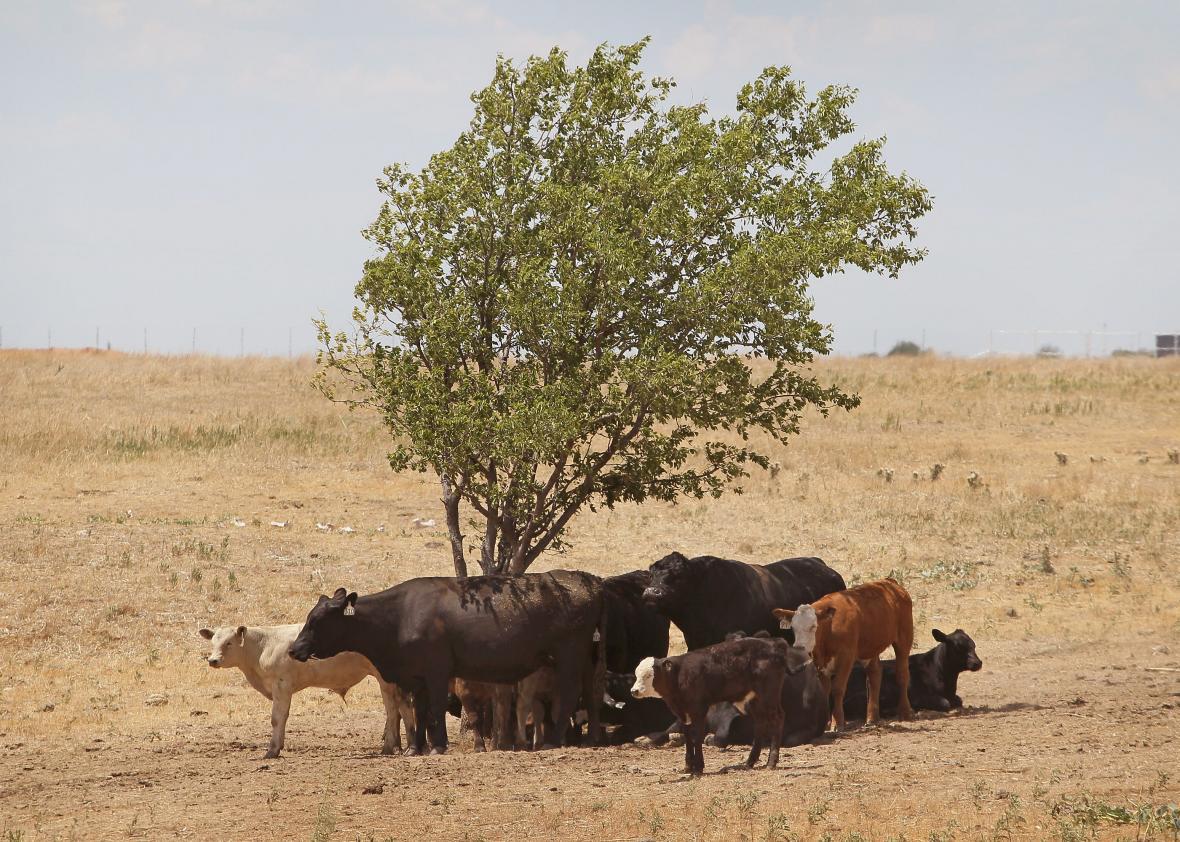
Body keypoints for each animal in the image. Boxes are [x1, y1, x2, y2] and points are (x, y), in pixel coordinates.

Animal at [195, 622, 412, 754]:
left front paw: (272, 750)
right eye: (213, 642)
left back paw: (391, 747)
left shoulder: (281, 685)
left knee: (394, 710)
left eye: (229, 643)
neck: (263, 646)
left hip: (385, 680)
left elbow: (277, 718)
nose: (213, 660)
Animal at [284, 570, 599, 754]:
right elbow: (420, 712)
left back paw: (555, 739)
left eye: (318, 620)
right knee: (591, 694)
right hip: (588, 658)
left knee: (570, 694)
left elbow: (434, 709)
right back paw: (591, 737)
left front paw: (437, 745)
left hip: (570, 656)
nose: (295, 649)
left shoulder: (437, 672)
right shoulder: (416, 678)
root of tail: (587, 583)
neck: (399, 616)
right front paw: (417, 748)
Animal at [774, 577, 910, 726]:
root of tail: (889, 582)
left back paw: (904, 711)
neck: (829, 630)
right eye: (793, 627)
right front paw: (826, 722)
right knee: (875, 675)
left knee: (902, 675)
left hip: (904, 639)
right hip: (870, 648)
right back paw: (872, 717)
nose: (799, 647)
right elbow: (825, 690)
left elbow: (837, 688)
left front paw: (837, 722)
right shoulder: (820, 662)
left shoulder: (846, 658)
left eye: (813, 626)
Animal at [844, 627, 981, 716]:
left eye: (973, 645)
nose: (978, 663)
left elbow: (959, 700)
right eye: (958, 647)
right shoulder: (918, 697)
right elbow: (944, 703)